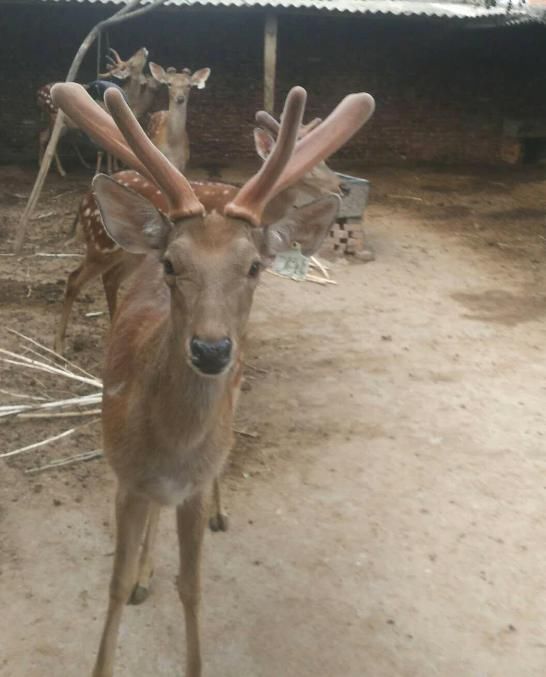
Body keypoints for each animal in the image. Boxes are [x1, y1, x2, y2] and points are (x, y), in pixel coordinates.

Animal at [52, 80, 374, 676]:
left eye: (254, 267)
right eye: (173, 264)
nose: (210, 348)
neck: (168, 449)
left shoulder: (191, 488)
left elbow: (193, 586)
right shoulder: (126, 480)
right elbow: (114, 585)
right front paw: (133, 588)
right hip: (104, 250)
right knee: (75, 279)